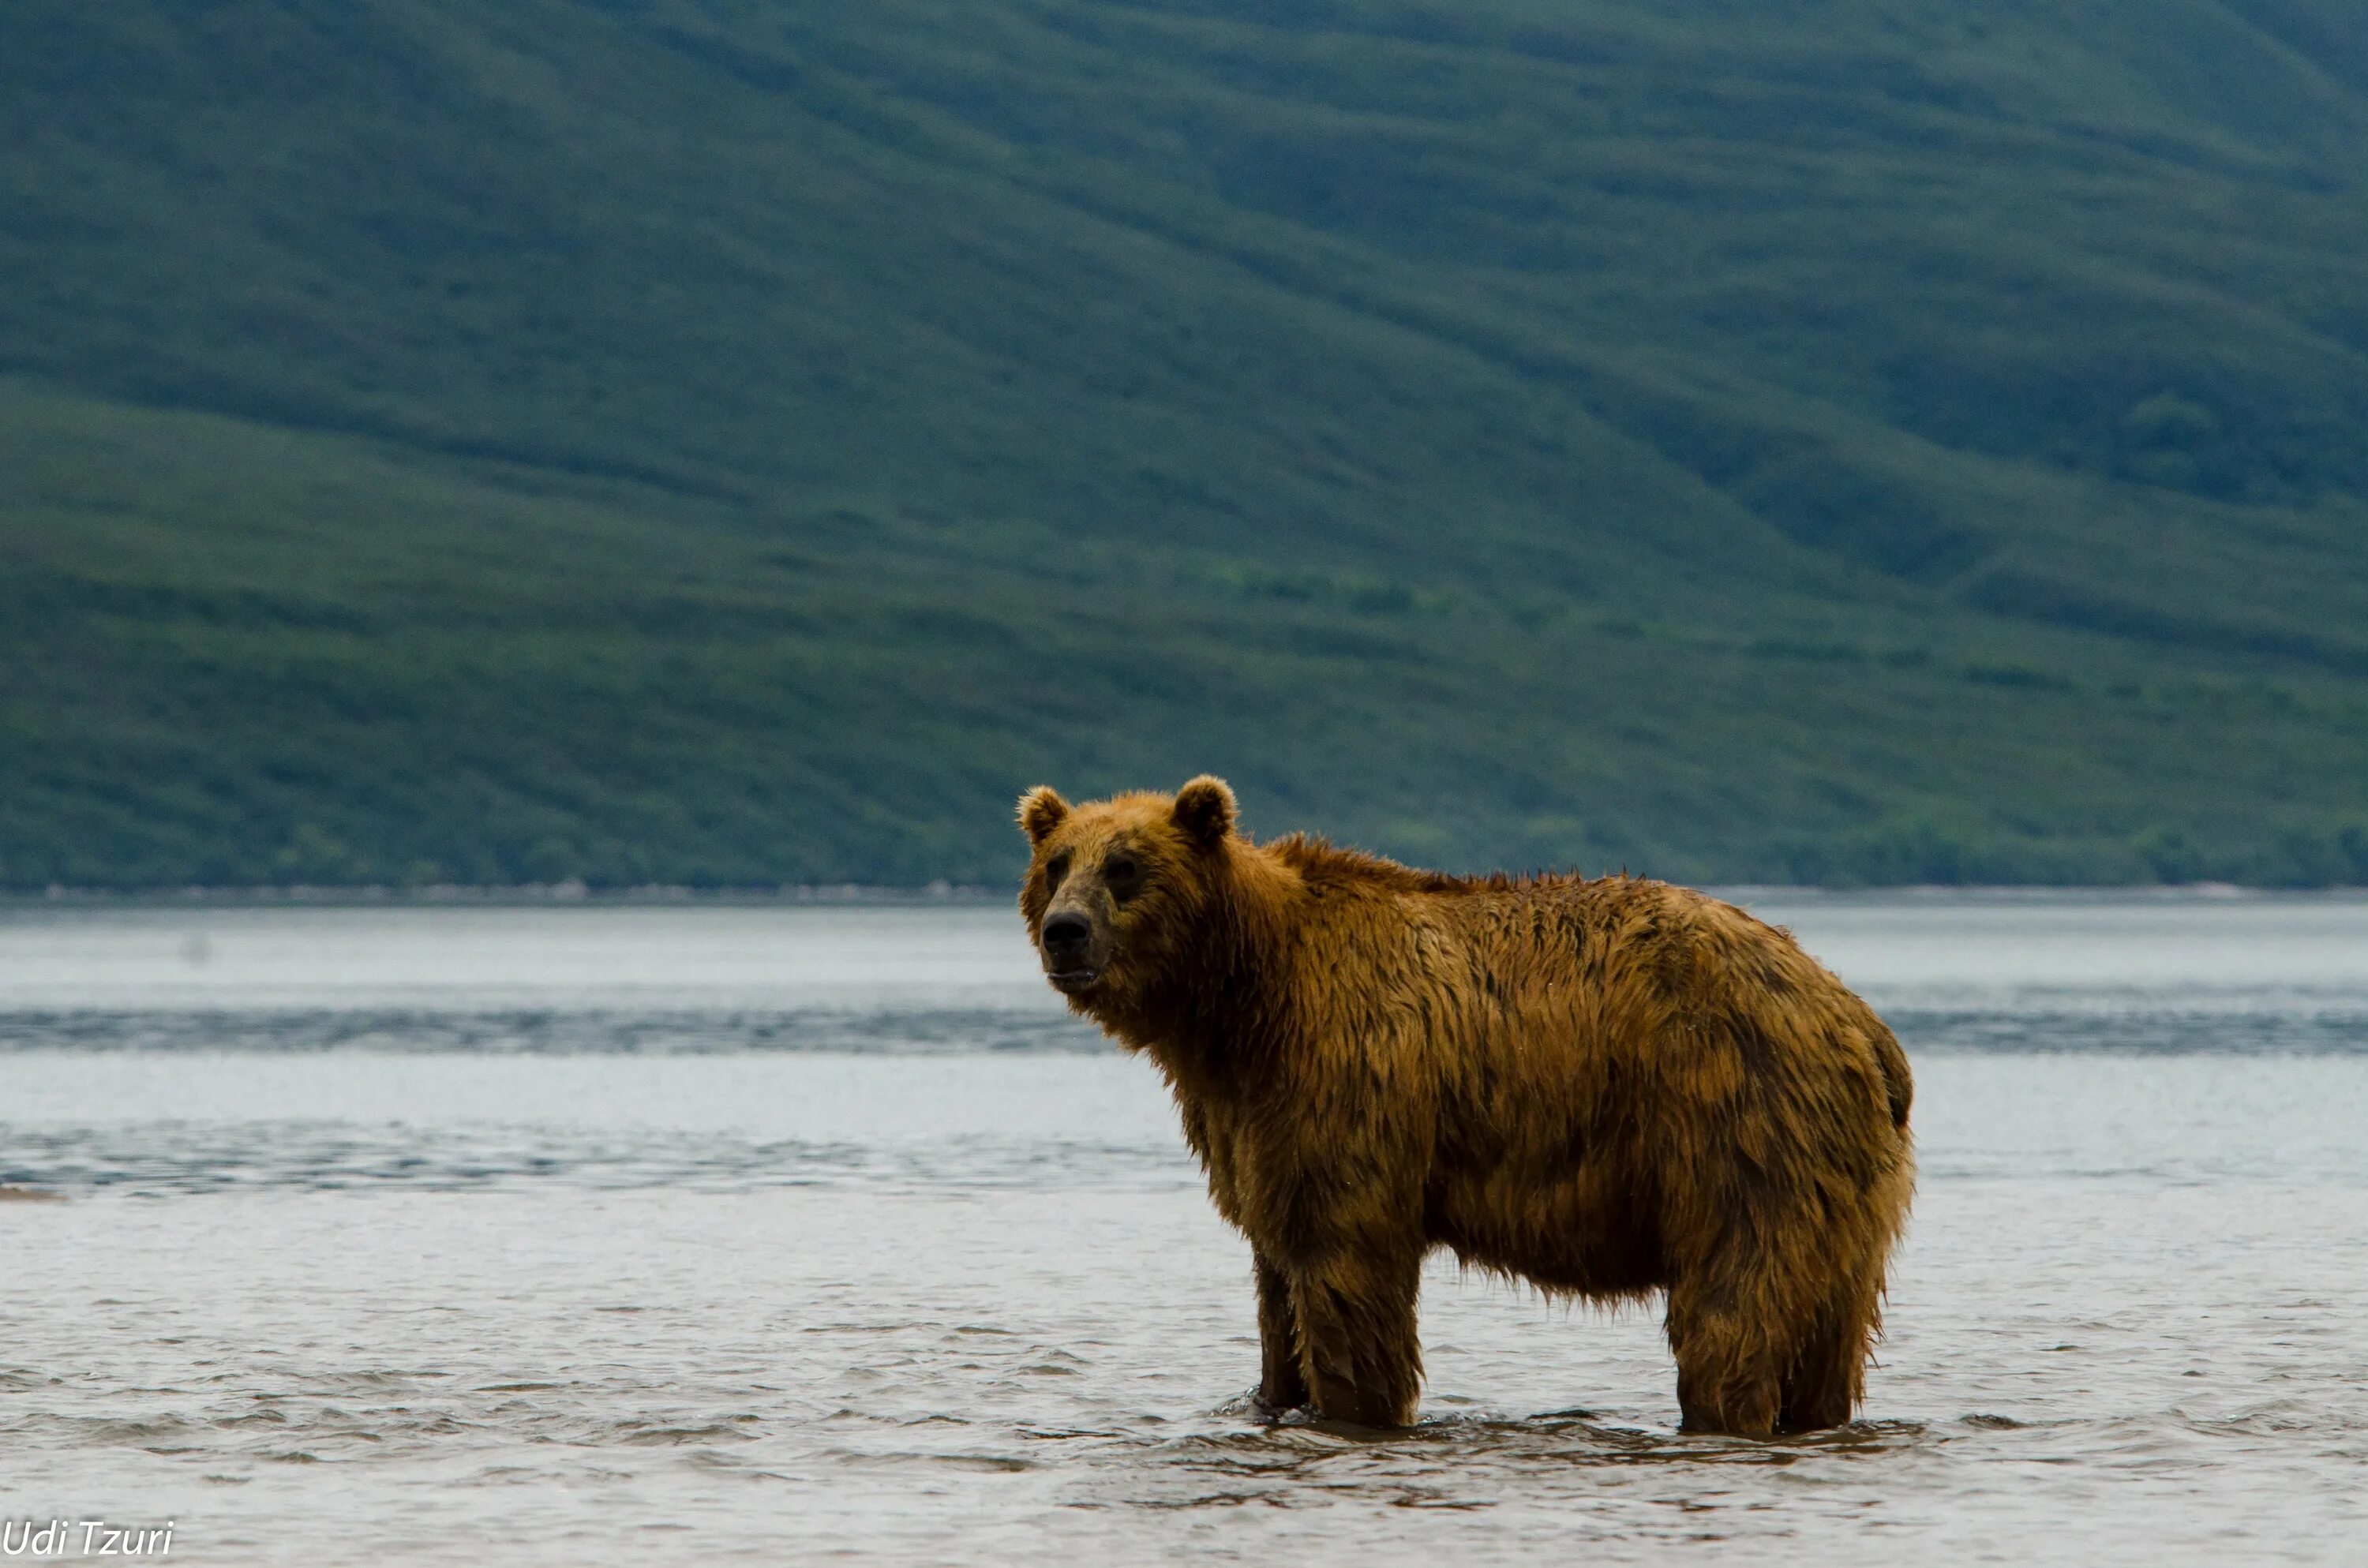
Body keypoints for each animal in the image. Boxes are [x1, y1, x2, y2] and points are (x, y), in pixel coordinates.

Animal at [1009, 772, 1913, 1439]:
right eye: (1057, 862)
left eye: (1126, 866)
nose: (1066, 931)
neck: (1241, 1003)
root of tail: (1856, 1015)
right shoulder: (1249, 1122)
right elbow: (1274, 1279)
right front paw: (1273, 1392)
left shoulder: (1346, 1088)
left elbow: (1345, 1272)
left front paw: (1354, 1404)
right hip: (1844, 1183)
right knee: (1830, 1334)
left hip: (1737, 1124)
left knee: (1733, 1306)